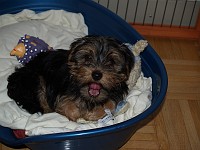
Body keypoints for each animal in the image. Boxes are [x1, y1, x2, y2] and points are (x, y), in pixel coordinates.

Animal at [6, 35, 134, 122]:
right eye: (87, 57)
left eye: (111, 62)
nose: (97, 74)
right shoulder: (62, 92)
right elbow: (67, 106)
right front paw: (79, 114)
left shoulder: (116, 93)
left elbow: (110, 105)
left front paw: (91, 114)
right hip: (35, 79)